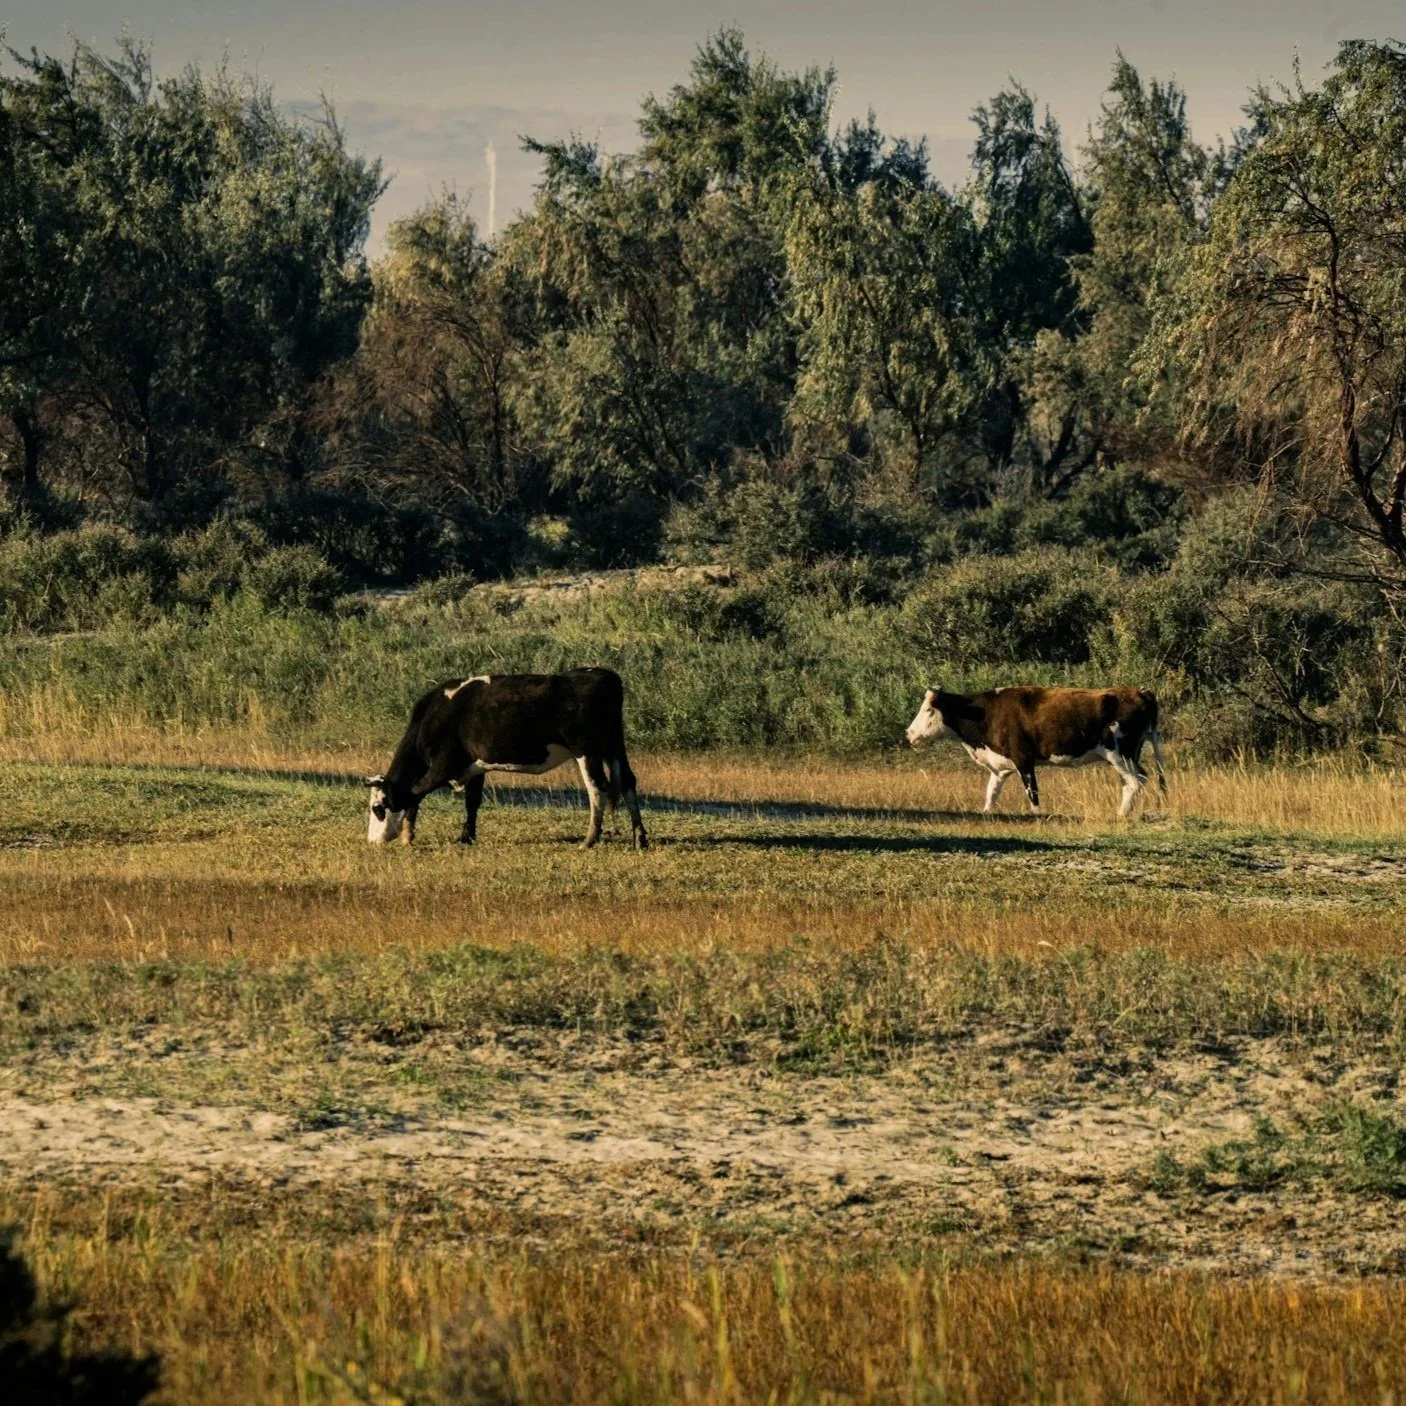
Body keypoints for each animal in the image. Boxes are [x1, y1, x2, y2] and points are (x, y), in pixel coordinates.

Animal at [365, 668, 647, 850]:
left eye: (377, 808)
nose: (372, 841)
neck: (432, 717)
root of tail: (604, 675)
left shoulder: (444, 766)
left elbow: (416, 791)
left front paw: (407, 834)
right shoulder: (476, 767)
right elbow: (472, 802)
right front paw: (466, 837)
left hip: (586, 751)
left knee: (598, 789)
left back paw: (589, 840)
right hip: (614, 747)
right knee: (628, 783)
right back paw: (640, 838)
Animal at [904, 685, 1166, 817]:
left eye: (928, 710)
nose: (909, 733)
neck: (986, 713)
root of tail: (1139, 691)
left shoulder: (1024, 760)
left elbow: (1033, 793)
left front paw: (1037, 816)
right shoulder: (1000, 765)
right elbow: (992, 792)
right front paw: (986, 812)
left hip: (1119, 754)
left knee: (1134, 782)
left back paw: (1120, 814)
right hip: (1130, 756)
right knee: (1137, 780)